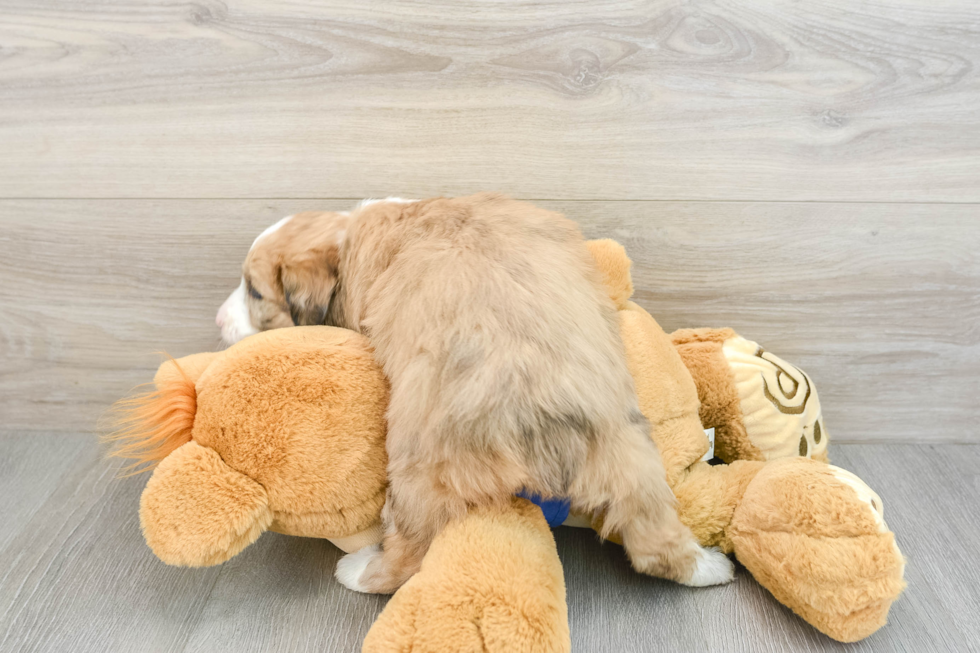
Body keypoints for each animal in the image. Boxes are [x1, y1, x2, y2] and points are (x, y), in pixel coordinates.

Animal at [216, 192, 736, 592]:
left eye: (255, 293)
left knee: (408, 552)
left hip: (417, 467)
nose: (218, 320)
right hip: (631, 451)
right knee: (655, 542)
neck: (347, 239)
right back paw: (709, 568)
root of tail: (542, 416)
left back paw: (360, 571)